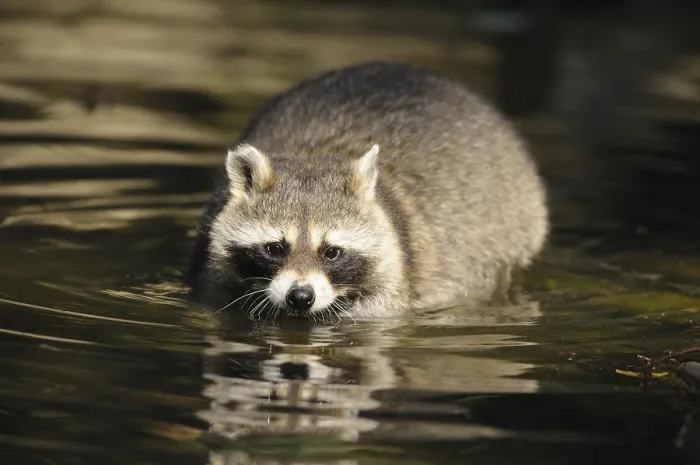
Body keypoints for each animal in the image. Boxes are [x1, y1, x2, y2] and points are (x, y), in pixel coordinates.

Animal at [187, 61, 549, 319]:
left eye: (332, 252)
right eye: (275, 248)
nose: (300, 297)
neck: (312, 158)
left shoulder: (395, 268)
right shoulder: (213, 268)